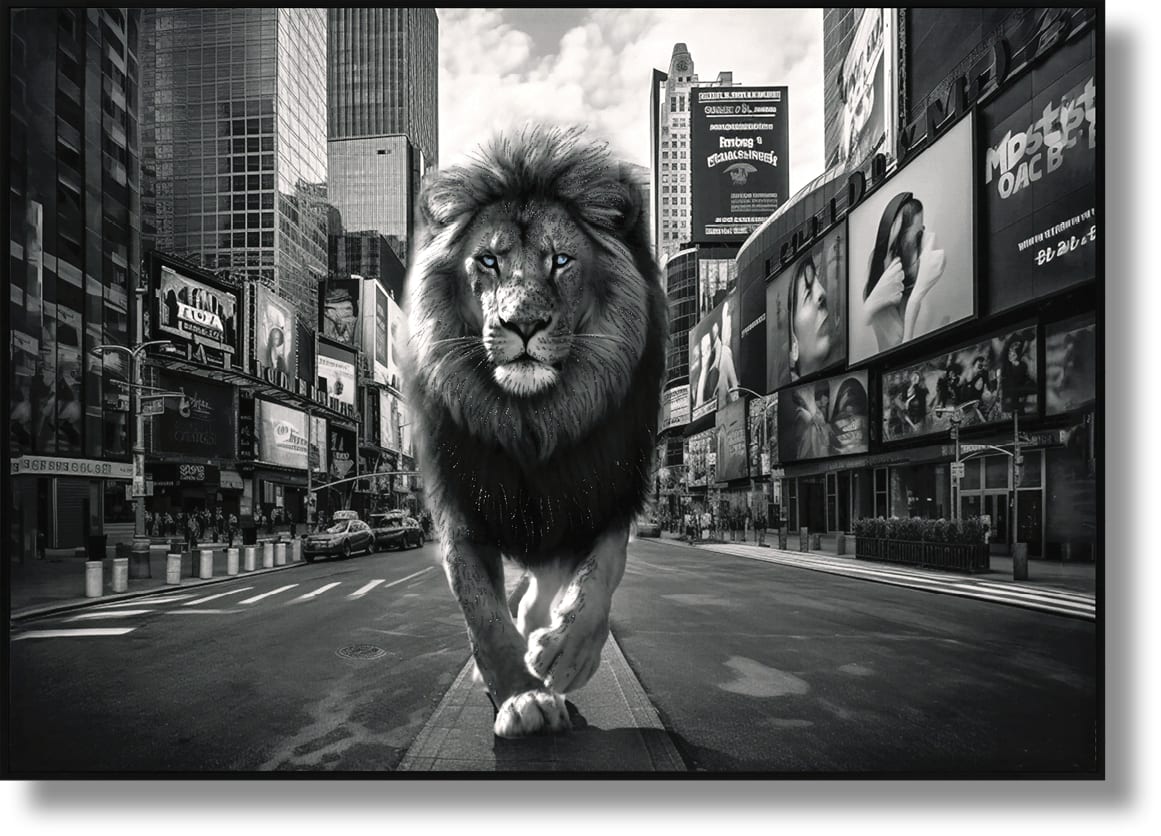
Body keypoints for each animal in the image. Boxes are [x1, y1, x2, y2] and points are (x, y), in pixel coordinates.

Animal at [401, 126, 668, 739]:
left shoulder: (609, 486)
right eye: (488, 261)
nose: (522, 325)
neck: (532, 421)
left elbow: (600, 575)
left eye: (561, 260)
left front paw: (568, 655)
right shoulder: (459, 502)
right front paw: (521, 696)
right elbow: (480, 609)